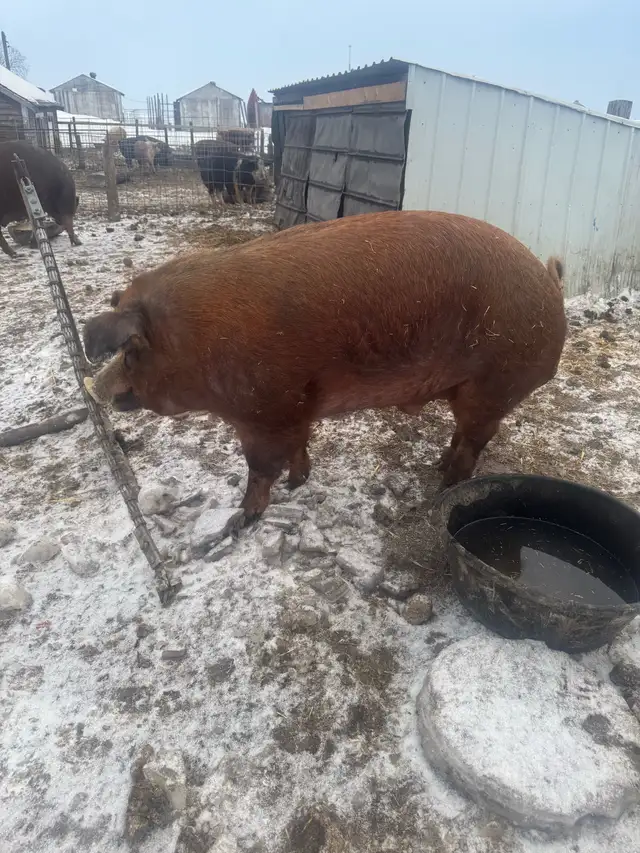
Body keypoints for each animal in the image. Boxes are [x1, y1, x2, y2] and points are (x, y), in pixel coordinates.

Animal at [82, 210, 567, 520]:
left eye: (130, 352)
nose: (94, 386)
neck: (194, 343)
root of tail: (550, 282)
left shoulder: (265, 411)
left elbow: (259, 468)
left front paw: (242, 520)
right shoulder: (294, 407)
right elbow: (299, 448)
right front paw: (299, 484)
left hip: (494, 385)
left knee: (473, 444)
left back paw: (441, 489)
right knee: (463, 438)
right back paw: (435, 468)